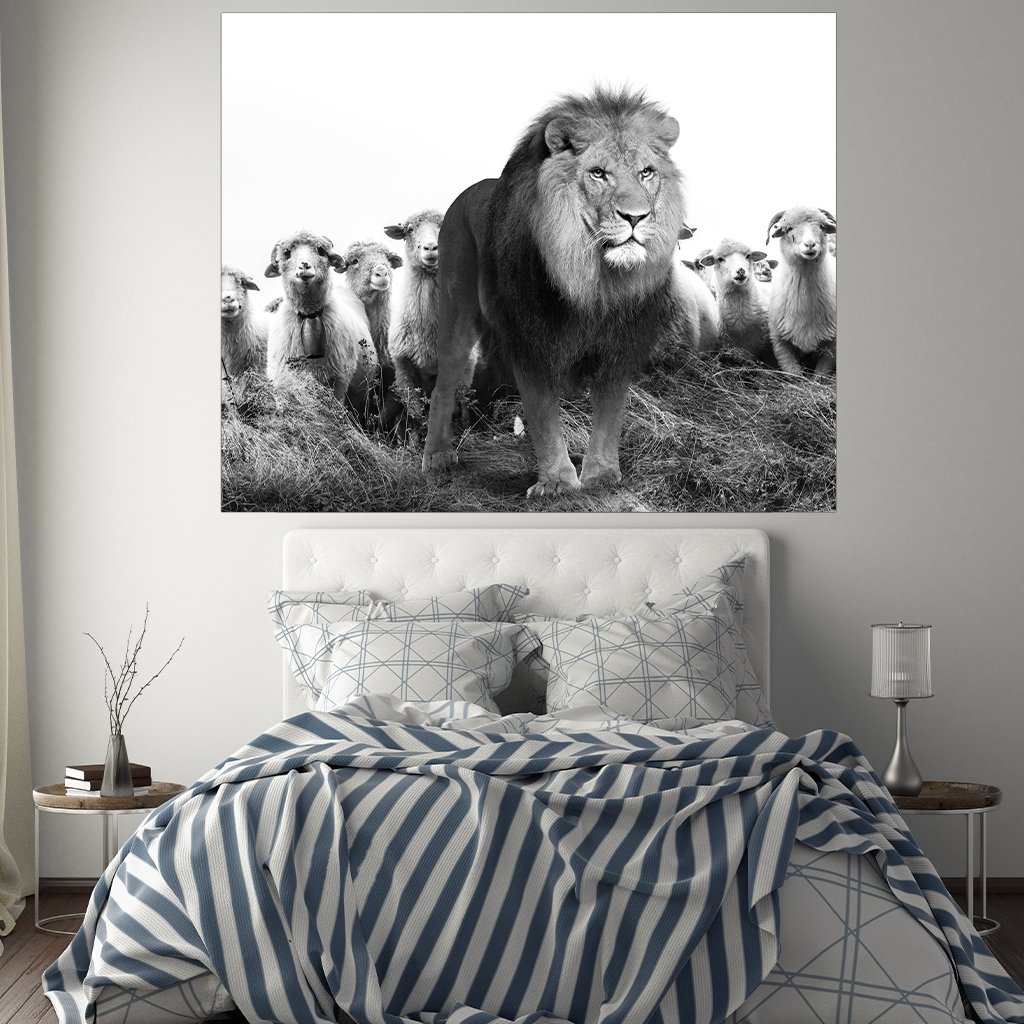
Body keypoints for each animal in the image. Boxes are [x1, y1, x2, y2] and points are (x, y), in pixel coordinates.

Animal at [422, 87, 696, 497]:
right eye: (598, 173)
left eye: (646, 172)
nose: (636, 217)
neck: (593, 280)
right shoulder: (529, 338)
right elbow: (542, 415)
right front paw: (557, 482)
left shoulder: (620, 342)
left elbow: (611, 412)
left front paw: (600, 476)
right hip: (458, 314)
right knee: (444, 383)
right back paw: (437, 455)